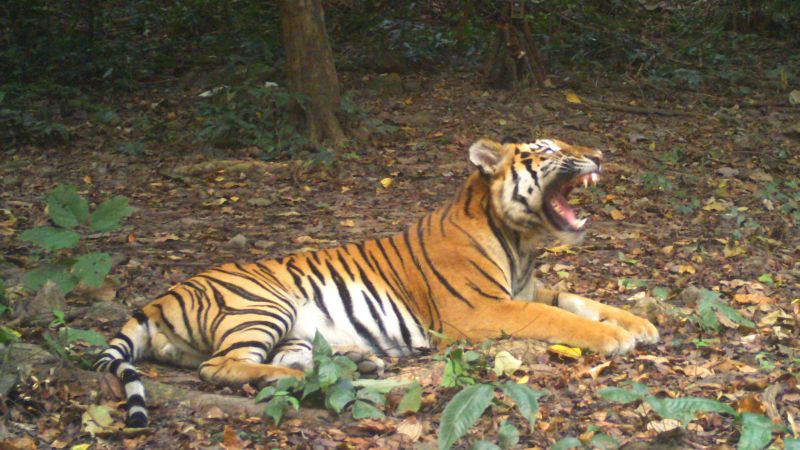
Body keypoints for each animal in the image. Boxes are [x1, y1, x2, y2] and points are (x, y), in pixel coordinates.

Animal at [94, 136, 660, 426]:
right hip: (263, 305)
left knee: (280, 362)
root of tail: (163, 295)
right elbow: (559, 318)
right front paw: (616, 338)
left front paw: (642, 324)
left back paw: (359, 363)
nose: (601, 156)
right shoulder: (484, 309)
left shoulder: (528, 289)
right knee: (220, 367)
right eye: (547, 149)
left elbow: (579, 299)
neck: (522, 243)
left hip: (293, 331)